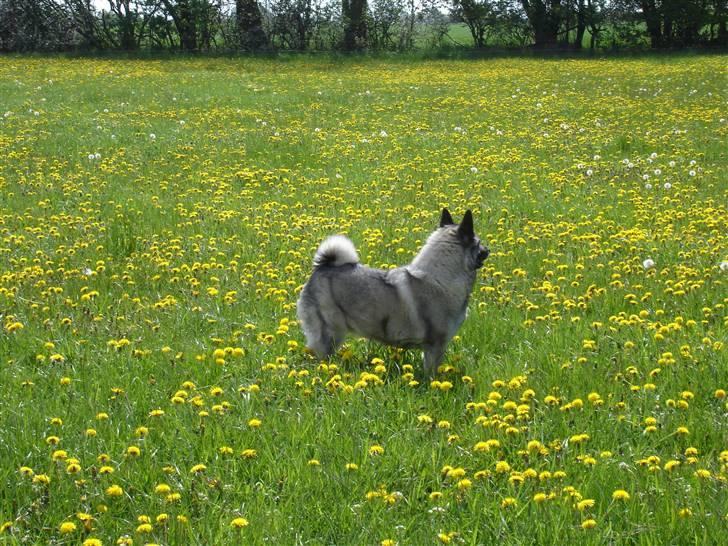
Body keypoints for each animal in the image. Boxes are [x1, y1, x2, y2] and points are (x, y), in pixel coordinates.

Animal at [296, 208, 490, 374]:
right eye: (479, 243)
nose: (488, 249)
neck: (441, 278)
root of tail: (323, 266)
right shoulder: (436, 346)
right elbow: (432, 373)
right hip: (329, 333)